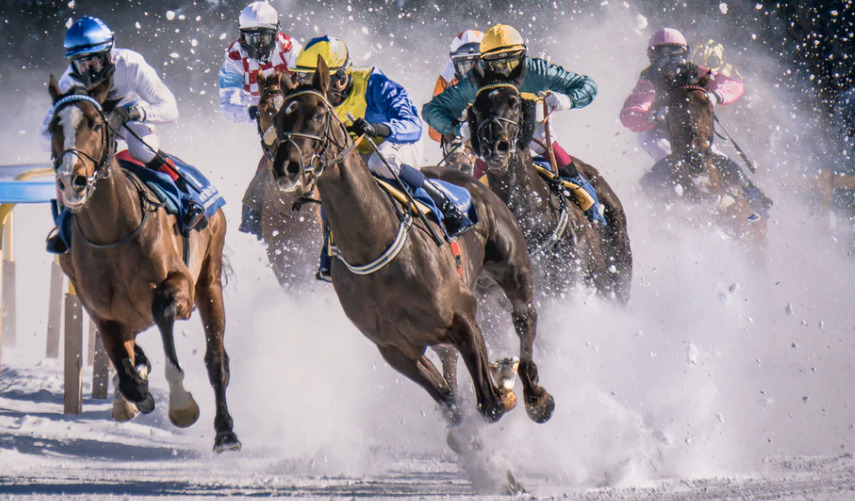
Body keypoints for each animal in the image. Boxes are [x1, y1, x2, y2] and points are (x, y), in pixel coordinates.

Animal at [46, 75, 241, 454]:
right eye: (53, 127)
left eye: (94, 123)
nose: (70, 180)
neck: (113, 233)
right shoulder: (101, 310)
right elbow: (124, 366)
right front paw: (134, 392)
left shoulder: (181, 286)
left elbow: (163, 310)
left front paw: (181, 405)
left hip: (209, 279)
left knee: (216, 361)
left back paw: (226, 433)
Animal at [268, 55, 560, 430]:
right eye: (278, 119)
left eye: (319, 115)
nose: (285, 168)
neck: (376, 247)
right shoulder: (395, 349)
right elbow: (451, 403)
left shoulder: (462, 316)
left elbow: (491, 402)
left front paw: (505, 383)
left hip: (513, 268)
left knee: (525, 318)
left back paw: (535, 395)